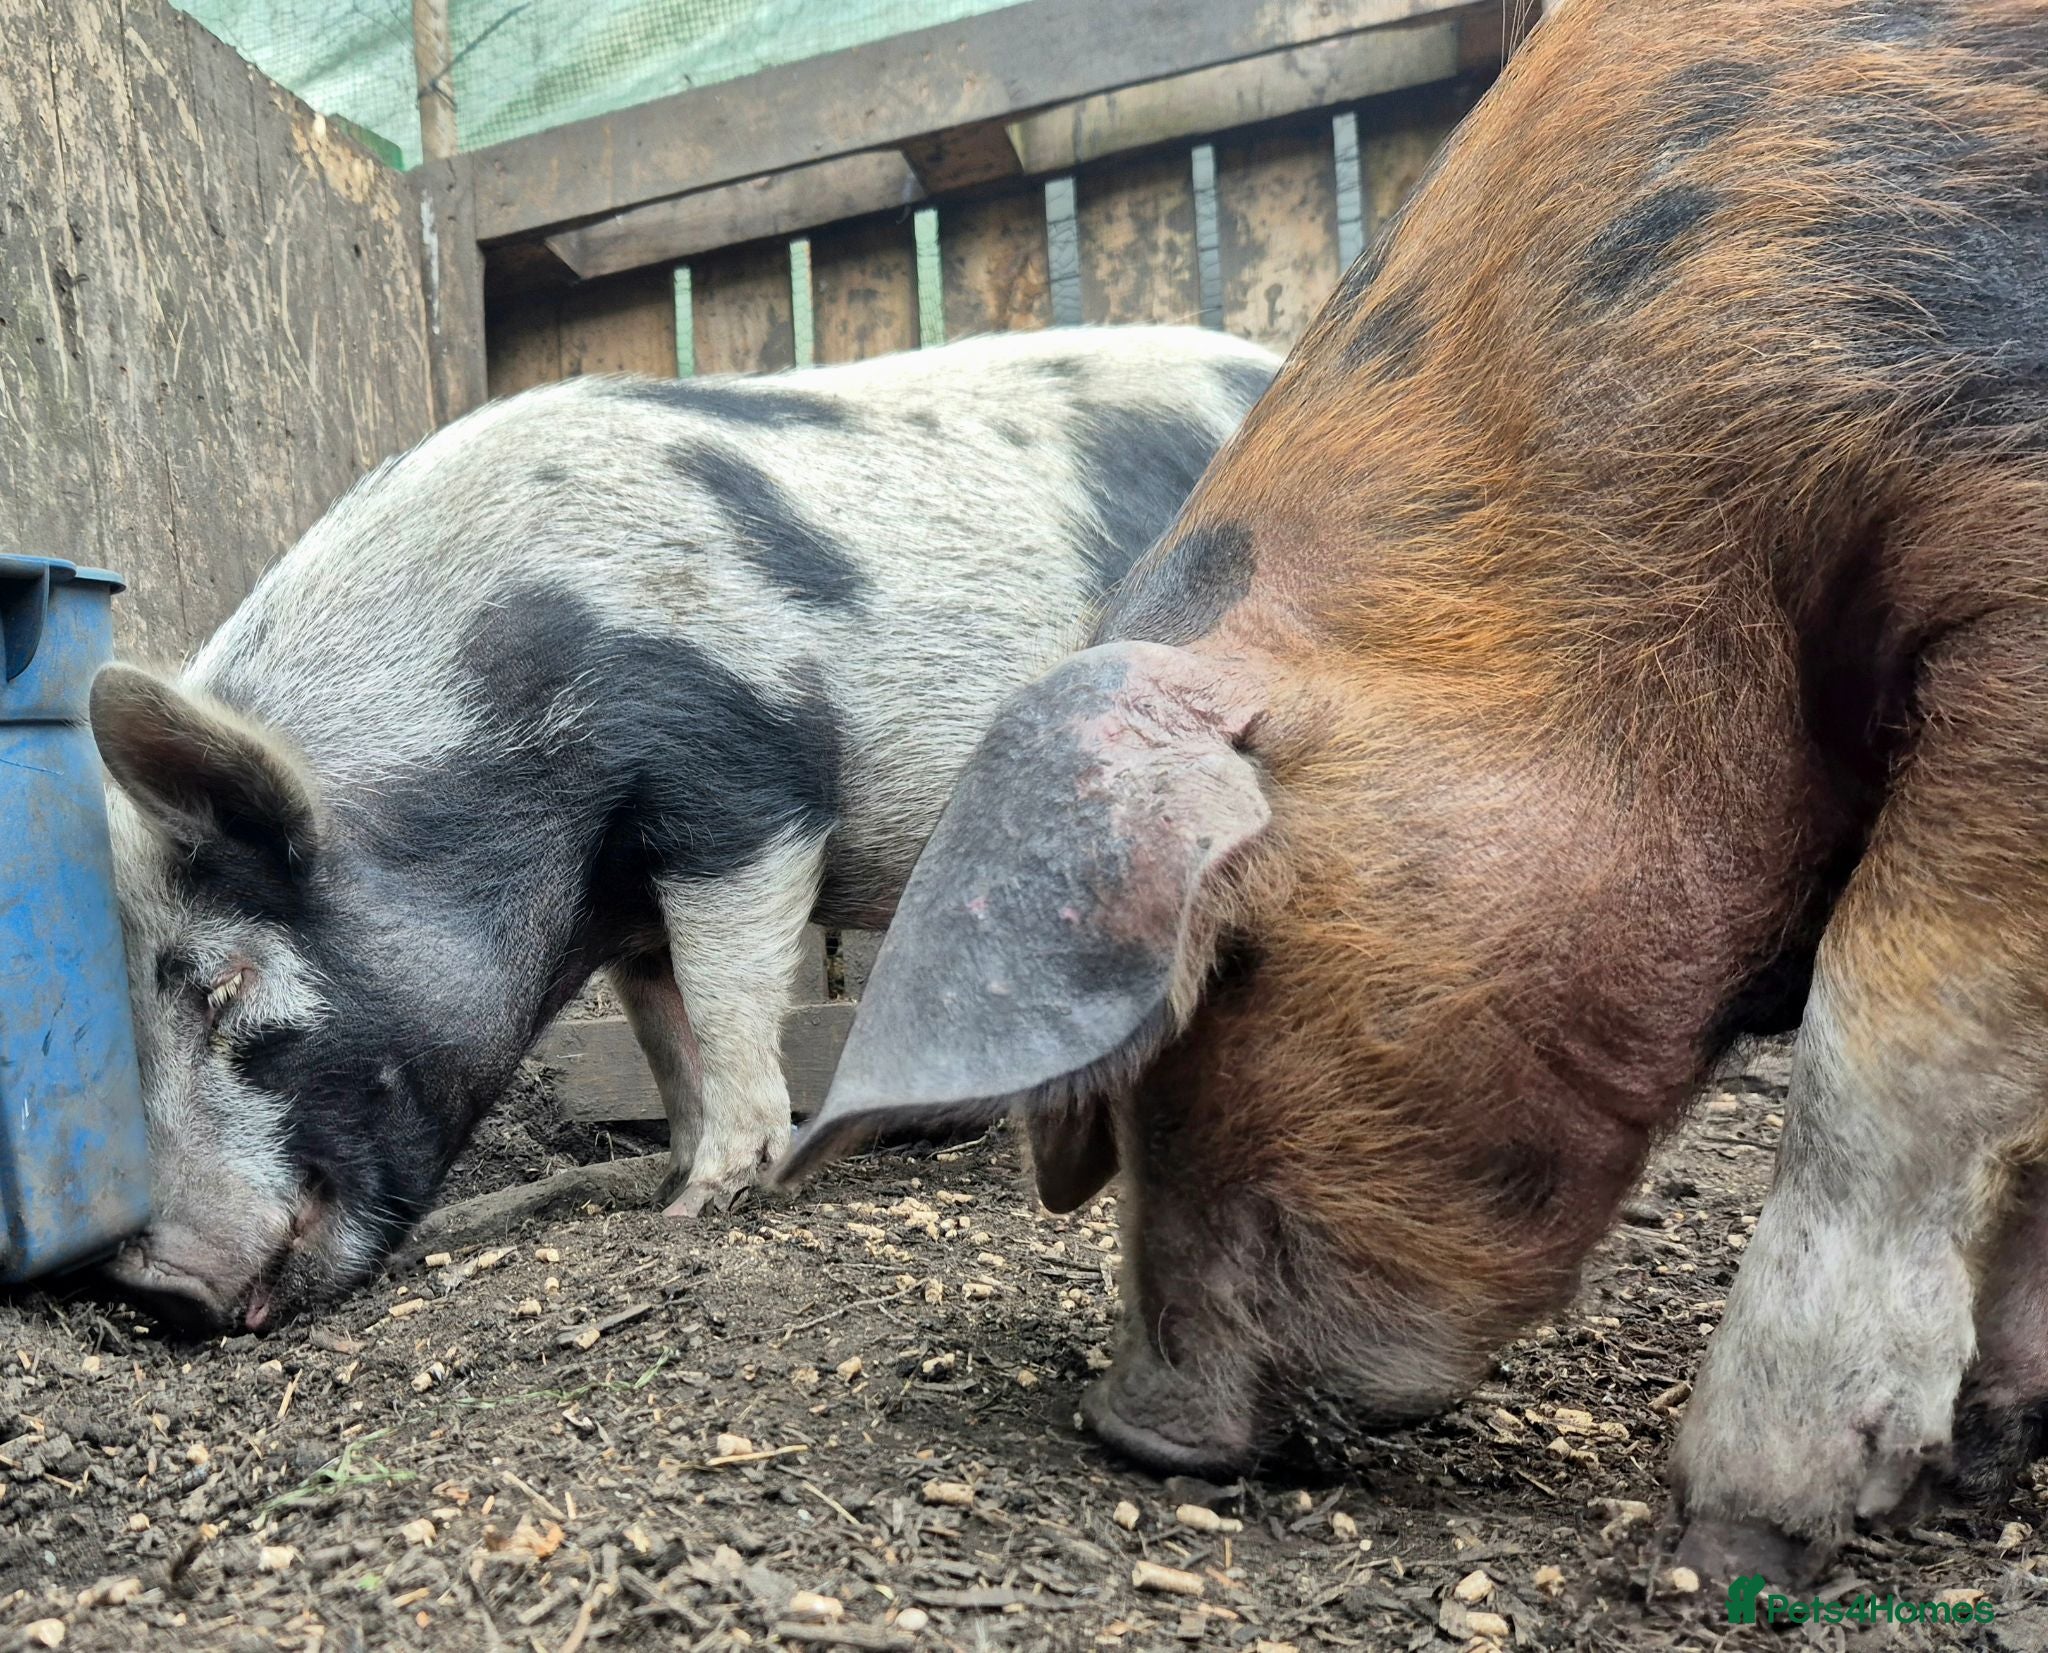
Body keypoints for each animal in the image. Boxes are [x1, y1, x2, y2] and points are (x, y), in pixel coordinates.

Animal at [91, 324, 1279, 1333]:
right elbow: (665, 1028)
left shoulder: (742, 778)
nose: (157, 1287)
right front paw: (669, 1181)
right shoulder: (628, 906)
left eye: (221, 983)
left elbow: (725, 992)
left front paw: (705, 1203)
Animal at [781, 0, 2048, 1583]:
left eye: (1232, 968)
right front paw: (1987, 1460)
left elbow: (1896, 1037)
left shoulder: (2009, 570)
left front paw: (1734, 1536)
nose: (1133, 1428)